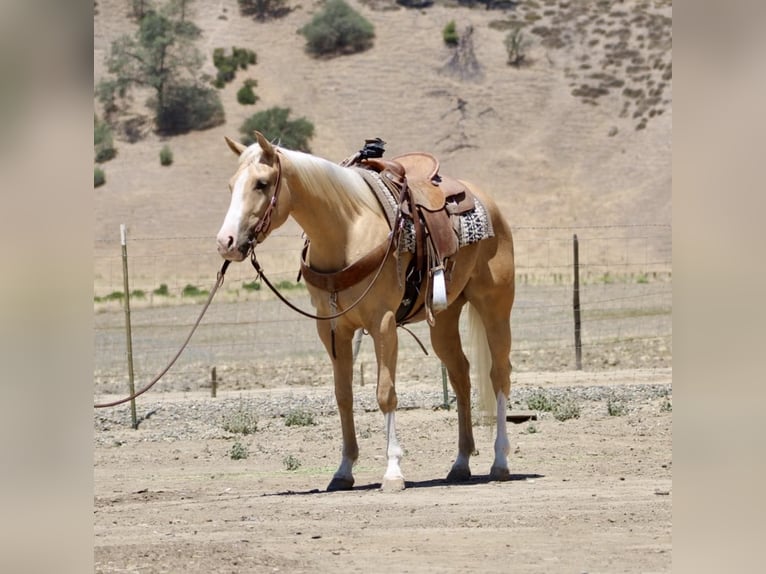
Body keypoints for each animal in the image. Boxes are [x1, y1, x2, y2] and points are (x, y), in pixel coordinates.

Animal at [216, 132, 515, 491]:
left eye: (261, 183)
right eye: (231, 185)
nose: (226, 242)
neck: (347, 232)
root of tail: (488, 203)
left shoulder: (382, 323)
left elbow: (385, 393)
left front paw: (393, 472)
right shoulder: (333, 329)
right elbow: (343, 395)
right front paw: (343, 470)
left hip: (495, 305)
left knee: (498, 375)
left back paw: (500, 462)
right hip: (444, 318)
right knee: (460, 376)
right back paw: (460, 463)